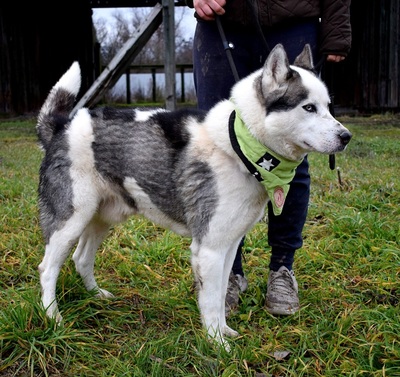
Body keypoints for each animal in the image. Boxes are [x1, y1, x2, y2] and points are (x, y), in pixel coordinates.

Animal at [36, 44, 350, 350]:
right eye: (308, 107)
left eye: (328, 107)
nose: (346, 137)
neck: (241, 146)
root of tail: (61, 126)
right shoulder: (209, 249)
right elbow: (210, 301)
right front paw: (218, 345)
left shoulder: (228, 246)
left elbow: (221, 294)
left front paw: (224, 332)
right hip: (70, 221)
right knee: (48, 269)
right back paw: (53, 317)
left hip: (101, 218)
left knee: (81, 258)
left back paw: (95, 295)